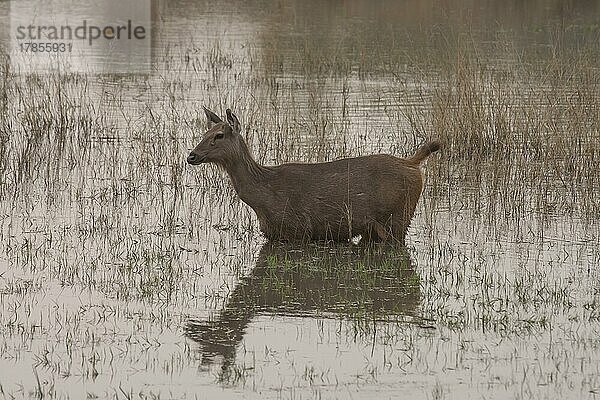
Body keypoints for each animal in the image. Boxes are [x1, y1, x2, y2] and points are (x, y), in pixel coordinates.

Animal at [188, 107, 440, 244]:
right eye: (205, 132)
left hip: (398, 217)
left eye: (219, 135)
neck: (263, 196)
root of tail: (412, 163)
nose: (191, 155)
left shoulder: (298, 230)